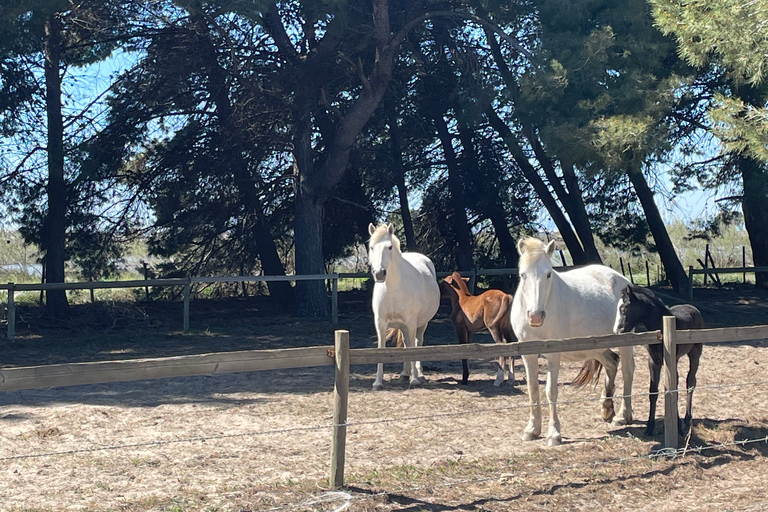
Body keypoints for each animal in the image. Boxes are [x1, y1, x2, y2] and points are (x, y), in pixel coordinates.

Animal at [368, 223, 440, 388]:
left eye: (389, 247)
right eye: (371, 247)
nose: (379, 273)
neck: (393, 289)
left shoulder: (411, 322)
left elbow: (413, 347)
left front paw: (415, 380)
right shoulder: (380, 323)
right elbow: (381, 348)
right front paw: (377, 382)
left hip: (421, 324)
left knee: (417, 342)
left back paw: (418, 374)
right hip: (403, 326)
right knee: (407, 343)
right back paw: (404, 374)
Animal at [512, 238, 632, 446]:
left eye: (548, 274)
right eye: (523, 275)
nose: (535, 316)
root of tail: (623, 280)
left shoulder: (553, 353)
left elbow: (550, 391)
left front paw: (554, 434)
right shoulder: (528, 354)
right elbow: (533, 389)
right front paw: (532, 430)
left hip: (625, 342)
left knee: (627, 371)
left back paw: (623, 415)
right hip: (597, 347)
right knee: (612, 363)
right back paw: (606, 408)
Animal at [616, 284, 704, 436]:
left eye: (624, 309)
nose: (618, 331)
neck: (661, 328)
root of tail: (693, 307)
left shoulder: (671, 360)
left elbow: (673, 389)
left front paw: (678, 425)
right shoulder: (653, 361)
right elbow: (653, 392)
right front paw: (650, 427)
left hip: (695, 353)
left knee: (691, 381)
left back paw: (687, 419)